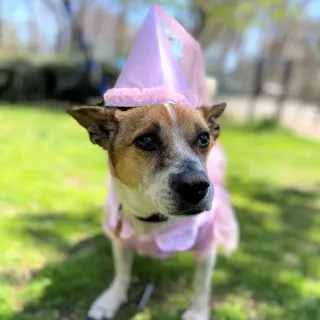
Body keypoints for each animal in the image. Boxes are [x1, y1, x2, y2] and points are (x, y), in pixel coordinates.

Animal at [67, 99, 238, 318]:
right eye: (146, 140)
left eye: (203, 138)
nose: (195, 186)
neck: (154, 217)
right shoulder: (121, 241)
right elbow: (121, 274)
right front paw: (111, 300)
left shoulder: (205, 248)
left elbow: (201, 283)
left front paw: (198, 312)